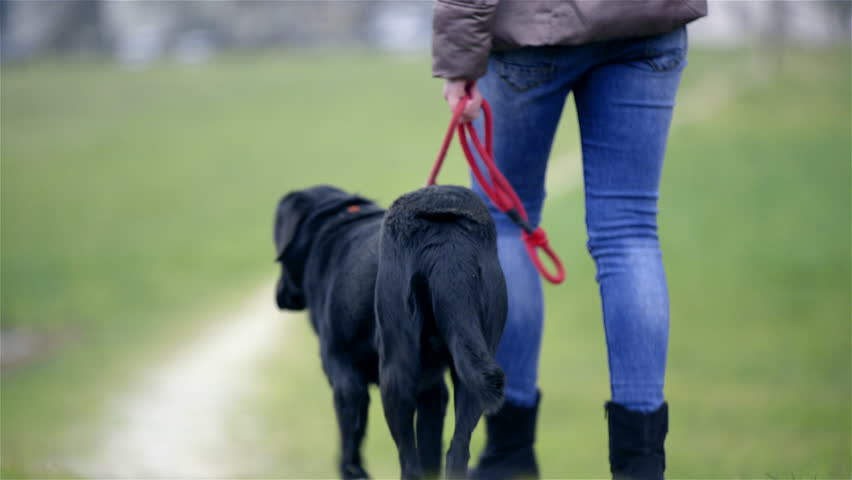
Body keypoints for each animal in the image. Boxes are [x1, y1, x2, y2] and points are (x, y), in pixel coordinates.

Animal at [274, 185, 506, 480]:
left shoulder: (345, 378)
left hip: (394, 378)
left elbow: (350, 446)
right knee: (457, 450)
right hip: (473, 372)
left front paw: (354, 471)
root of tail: (446, 242)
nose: (279, 295)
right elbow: (430, 451)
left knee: (409, 462)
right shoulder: (433, 390)